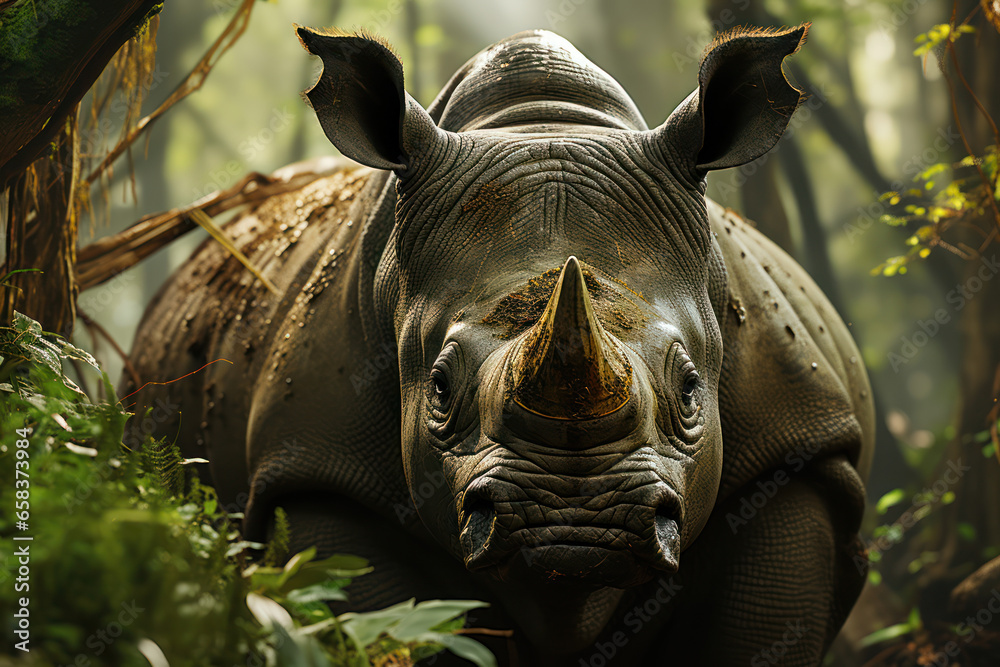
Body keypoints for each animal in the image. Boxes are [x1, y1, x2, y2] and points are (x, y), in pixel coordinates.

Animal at [125, 22, 874, 666]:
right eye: (439, 388)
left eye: (691, 389)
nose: (574, 524)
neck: (545, 122)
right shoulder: (314, 462)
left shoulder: (796, 446)